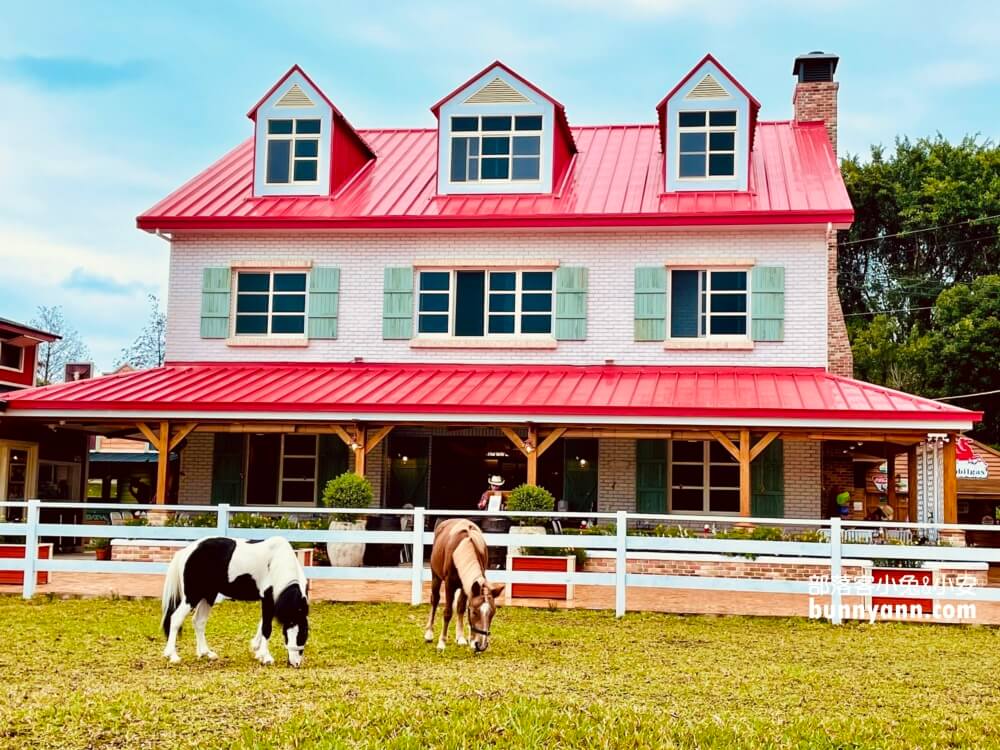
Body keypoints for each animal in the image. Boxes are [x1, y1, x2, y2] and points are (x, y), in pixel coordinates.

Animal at [162, 536, 308, 668]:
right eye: (301, 635)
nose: (296, 664)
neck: (277, 561)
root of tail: (186, 551)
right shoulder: (268, 598)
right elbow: (266, 628)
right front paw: (266, 657)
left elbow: (262, 624)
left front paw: (257, 650)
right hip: (192, 596)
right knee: (176, 619)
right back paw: (173, 656)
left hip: (208, 596)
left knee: (199, 622)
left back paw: (206, 653)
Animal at [422, 524, 504, 652]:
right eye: (474, 612)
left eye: (492, 613)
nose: (481, 645)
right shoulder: (449, 585)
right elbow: (448, 612)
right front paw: (442, 643)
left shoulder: (467, 586)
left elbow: (461, 608)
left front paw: (464, 639)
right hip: (435, 577)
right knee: (435, 600)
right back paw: (429, 634)